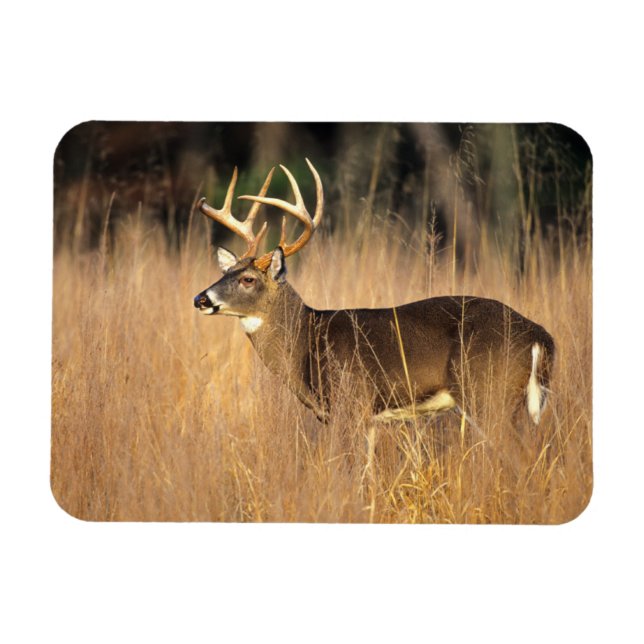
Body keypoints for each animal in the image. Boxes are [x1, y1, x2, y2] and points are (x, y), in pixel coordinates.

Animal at [193, 159, 555, 428]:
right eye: (225, 273)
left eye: (248, 279)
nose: (201, 299)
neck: (307, 340)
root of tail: (540, 336)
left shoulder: (351, 402)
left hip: (487, 393)